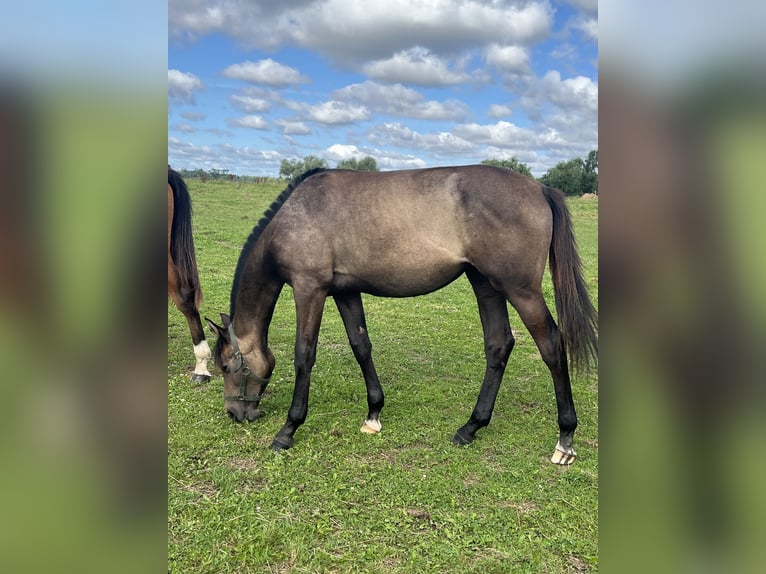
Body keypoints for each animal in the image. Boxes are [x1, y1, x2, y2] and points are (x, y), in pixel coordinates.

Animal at [208, 165, 600, 464]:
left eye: (226, 366)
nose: (234, 414)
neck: (296, 215)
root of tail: (539, 187)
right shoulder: (346, 291)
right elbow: (360, 346)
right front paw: (373, 415)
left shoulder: (310, 289)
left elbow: (304, 355)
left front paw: (288, 430)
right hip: (485, 283)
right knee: (498, 345)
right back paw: (471, 427)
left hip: (520, 290)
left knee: (551, 345)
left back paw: (565, 439)